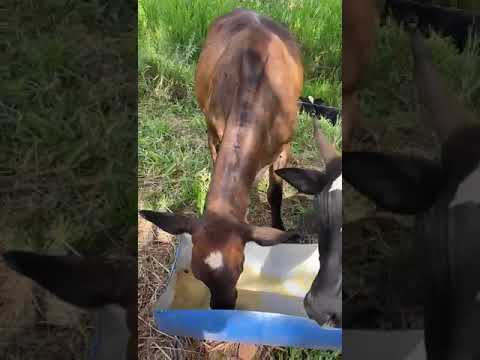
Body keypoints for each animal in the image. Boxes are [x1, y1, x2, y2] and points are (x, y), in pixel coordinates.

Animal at [141, 9, 304, 310]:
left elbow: (275, 193)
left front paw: (280, 230)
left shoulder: (284, 144)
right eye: (195, 272)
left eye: (240, 267)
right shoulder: (213, 130)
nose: (223, 306)